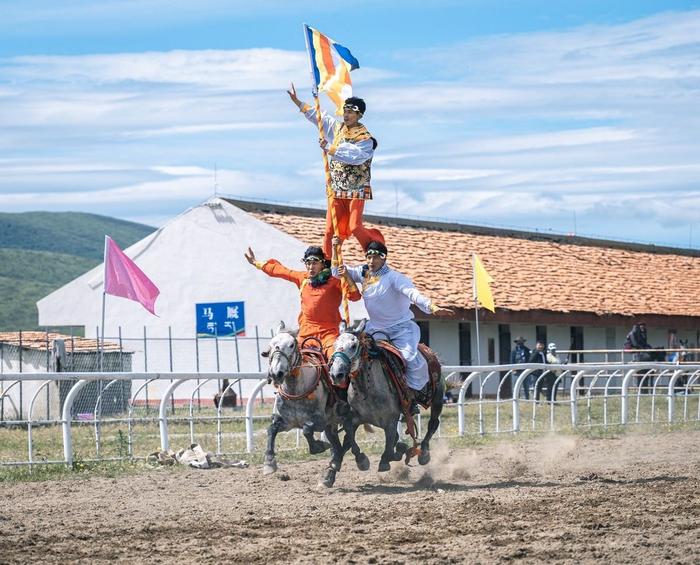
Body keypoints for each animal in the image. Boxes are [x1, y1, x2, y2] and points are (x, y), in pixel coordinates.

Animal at [262, 322, 370, 476]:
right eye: (271, 345)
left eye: (291, 345)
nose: (277, 373)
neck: (296, 389)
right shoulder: (287, 422)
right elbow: (271, 429)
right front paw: (269, 462)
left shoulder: (320, 421)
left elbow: (307, 429)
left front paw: (320, 446)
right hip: (332, 422)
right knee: (337, 439)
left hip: (346, 417)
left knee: (349, 434)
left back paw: (360, 459)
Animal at [326, 320, 446, 486]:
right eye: (335, 344)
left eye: (353, 345)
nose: (336, 374)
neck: (368, 389)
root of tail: (431, 353)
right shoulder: (353, 418)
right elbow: (350, 438)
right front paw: (360, 460)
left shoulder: (390, 420)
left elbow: (389, 448)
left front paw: (388, 458)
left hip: (437, 399)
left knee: (433, 423)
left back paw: (424, 453)